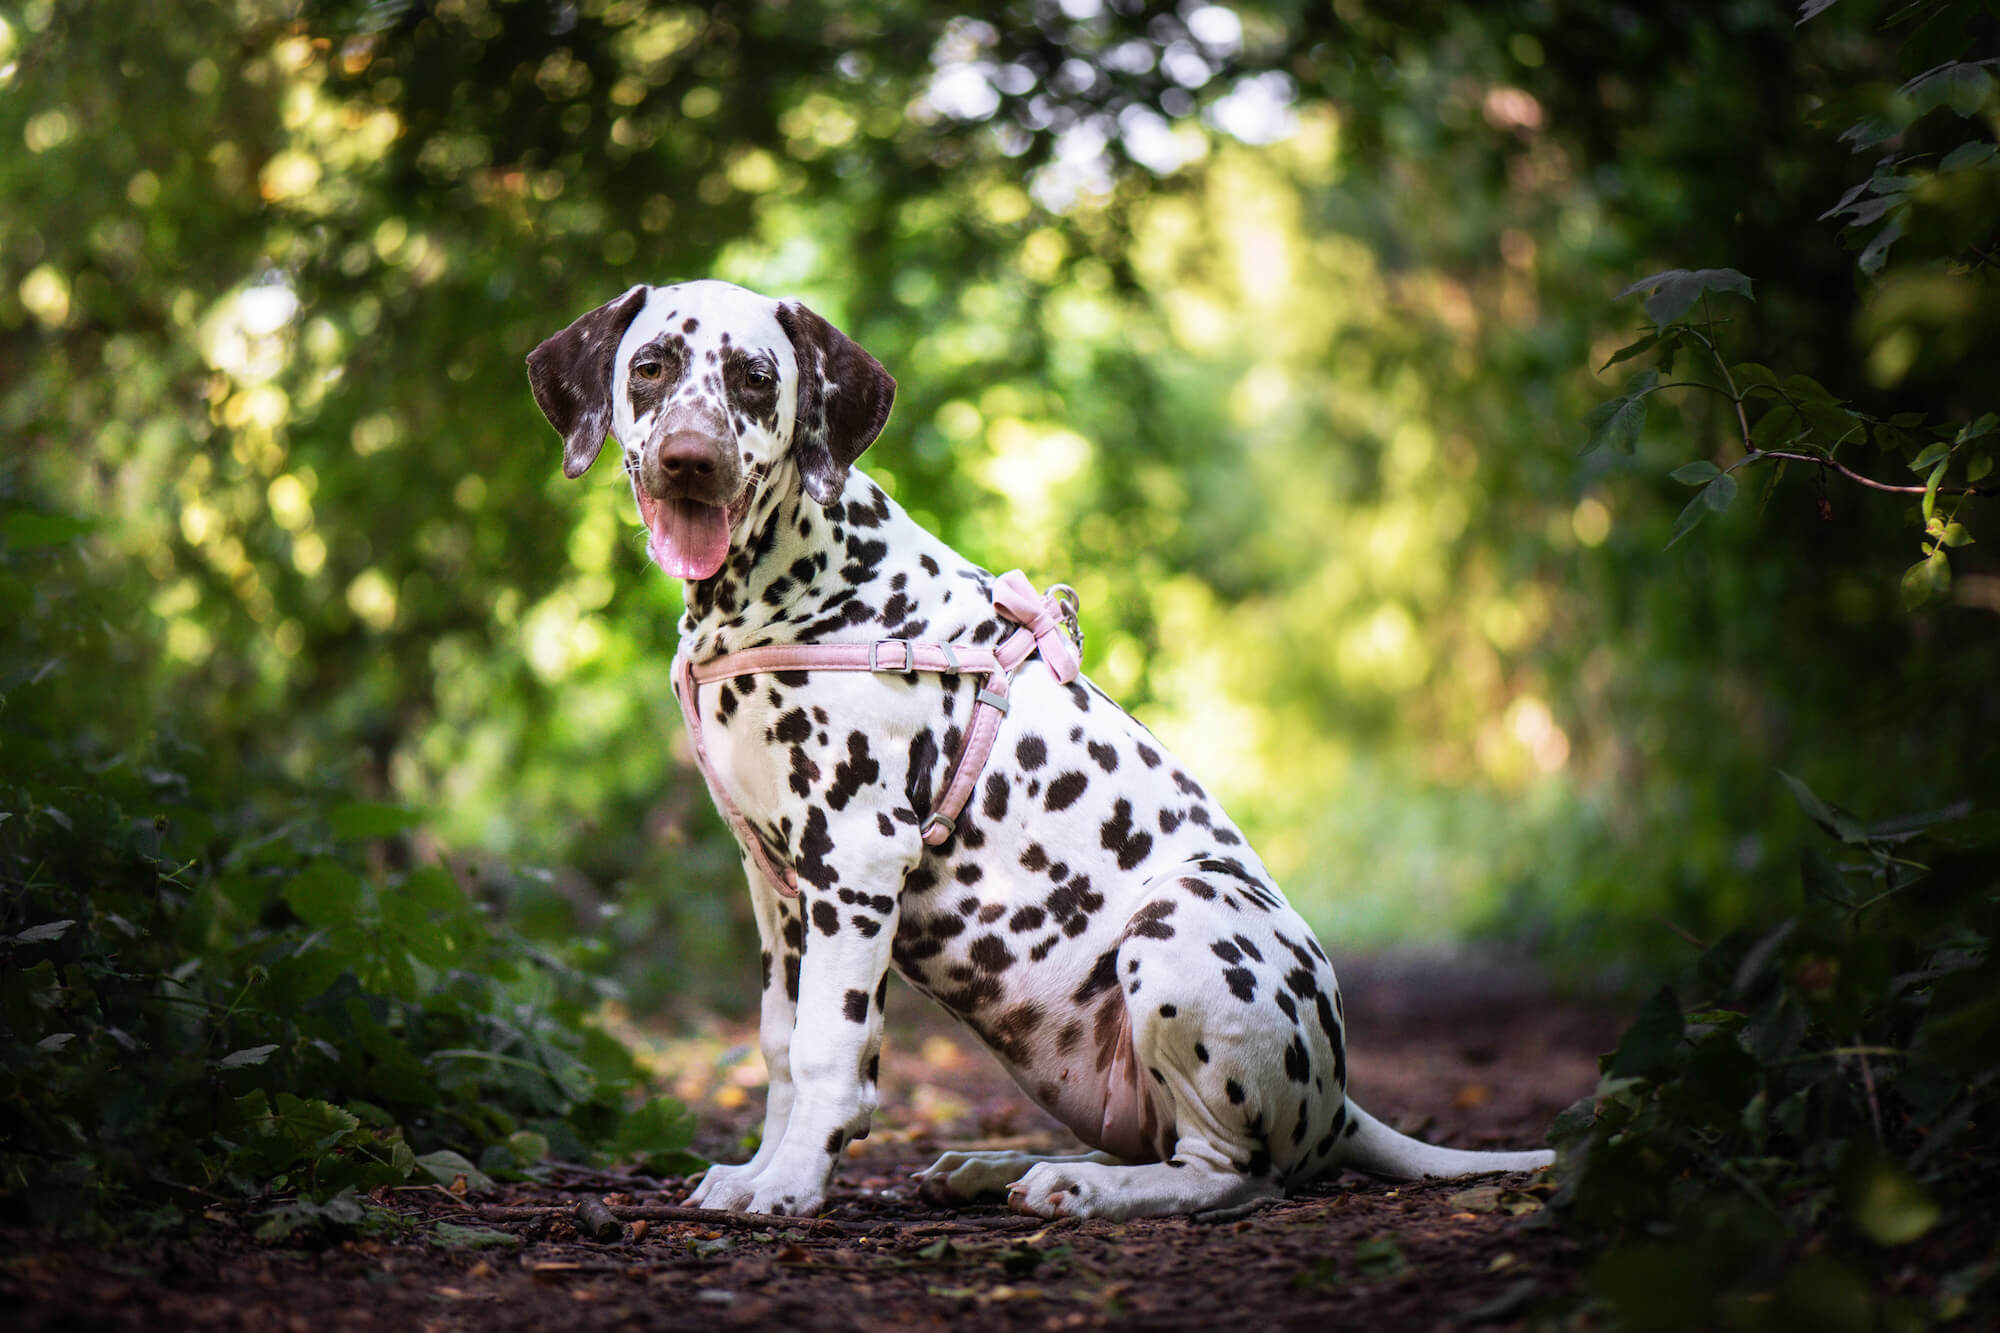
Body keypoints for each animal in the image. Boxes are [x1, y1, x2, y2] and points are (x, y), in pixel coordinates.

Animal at [532, 278, 1560, 1216]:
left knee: (1230, 1173)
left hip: (1182, 923)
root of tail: (1343, 1103)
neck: (797, 584)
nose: (689, 460)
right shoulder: (778, 889)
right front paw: (757, 1170)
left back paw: (1087, 1186)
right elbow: (783, 1044)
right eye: (651, 365)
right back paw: (996, 1166)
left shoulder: (854, 865)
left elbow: (828, 1052)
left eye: (754, 376)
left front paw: (790, 1186)